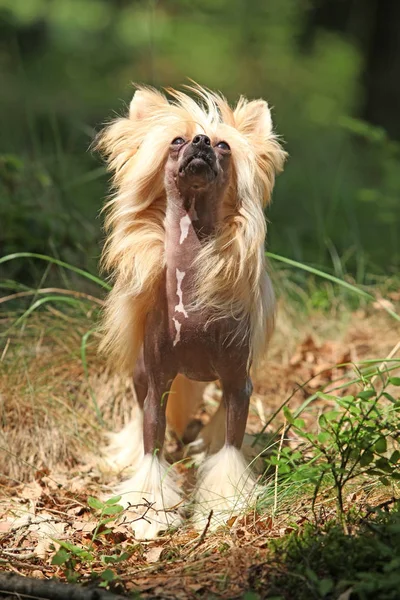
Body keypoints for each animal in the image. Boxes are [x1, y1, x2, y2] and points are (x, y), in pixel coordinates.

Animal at [96, 85, 284, 540]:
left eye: (224, 146)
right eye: (177, 141)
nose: (200, 142)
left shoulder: (237, 385)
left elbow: (231, 446)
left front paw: (228, 505)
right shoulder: (158, 383)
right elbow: (152, 445)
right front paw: (148, 513)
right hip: (141, 375)